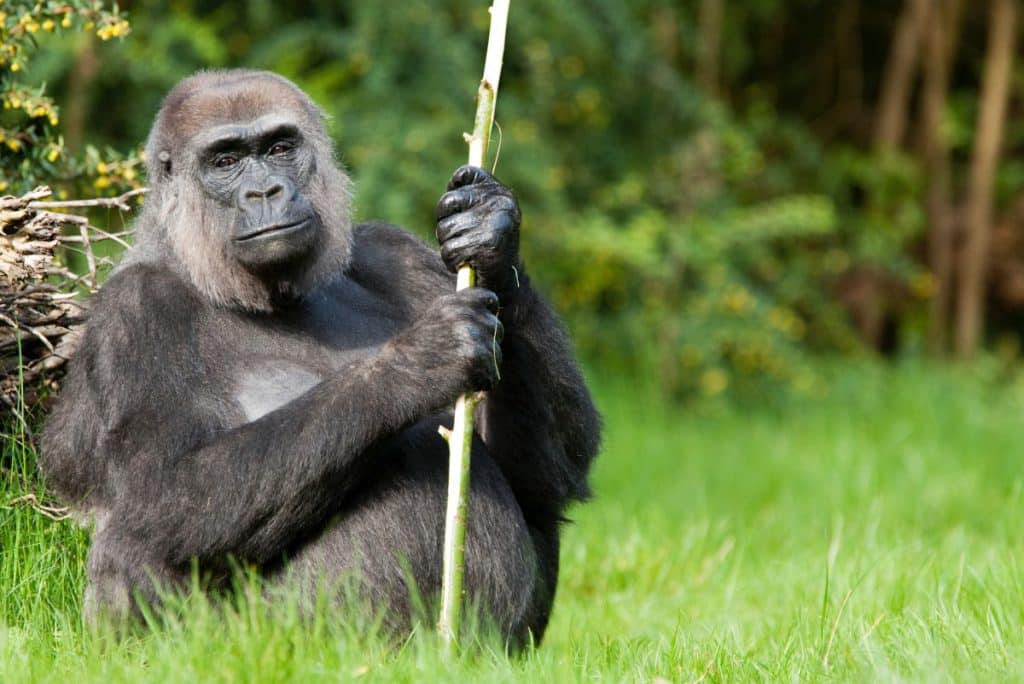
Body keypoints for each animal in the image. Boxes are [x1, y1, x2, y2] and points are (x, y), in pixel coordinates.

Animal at [41, 69, 600, 646]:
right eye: (225, 160)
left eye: (281, 148)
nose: (265, 191)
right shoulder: (131, 314)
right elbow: (165, 489)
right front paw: (417, 363)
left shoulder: (397, 251)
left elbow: (546, 474)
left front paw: (491, 232)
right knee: (135, 538)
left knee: (542, 504)